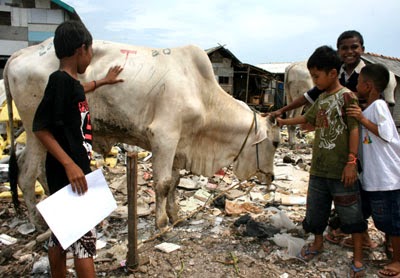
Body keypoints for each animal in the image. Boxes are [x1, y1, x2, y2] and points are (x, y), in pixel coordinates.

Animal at [3, 38, 280, 231]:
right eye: (276, 143)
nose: (271, 177)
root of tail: (20, 53)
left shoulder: (180, 143)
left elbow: (175, 182)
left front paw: (176, 215)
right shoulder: (164, 137)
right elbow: (163, 184)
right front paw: (161, 222)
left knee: (38, 170)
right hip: (37, 130)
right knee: (26, 175)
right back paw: (38, 223)